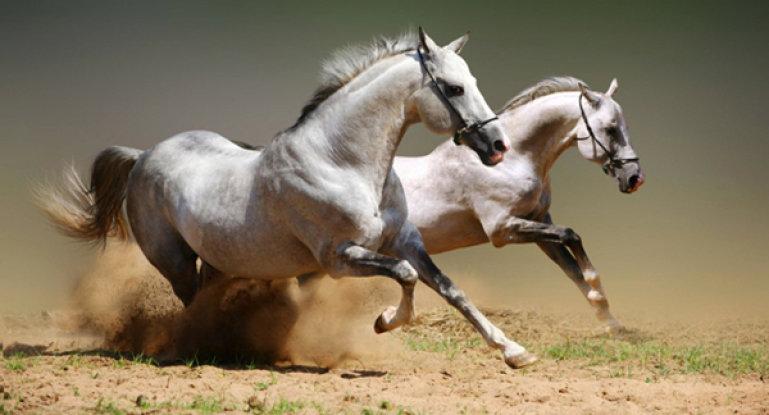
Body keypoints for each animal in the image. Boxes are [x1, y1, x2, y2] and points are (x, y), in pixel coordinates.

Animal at [39, 29, 544, 368]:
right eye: (454, 88)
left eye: (472, 80)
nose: (497, 145)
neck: (341, 162)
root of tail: (143, 155)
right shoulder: (338, 258)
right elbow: (404, 276)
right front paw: (384, 321)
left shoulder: (405, 241)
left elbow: (449, 288)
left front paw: (514, 351)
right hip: (174, 260)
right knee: (190, 305)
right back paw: (201, 348)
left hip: (218, 261)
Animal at [394, 77, 644, 335]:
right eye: (610, 129)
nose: (634, 178)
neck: (511, 161)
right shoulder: (502, 229)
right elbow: (571, 235)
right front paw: (596, 286)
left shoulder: (539, 223)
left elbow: (571, 268)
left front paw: (610, 321)